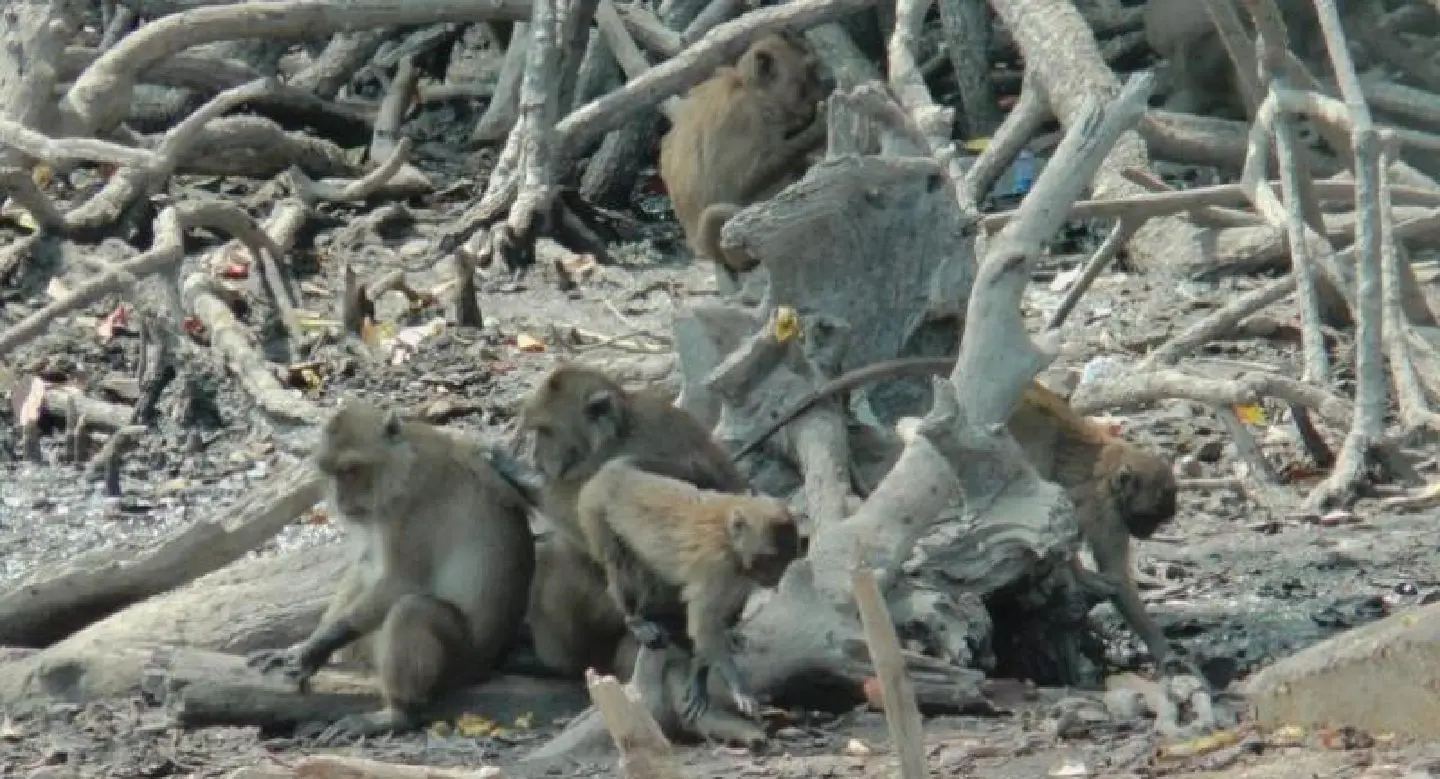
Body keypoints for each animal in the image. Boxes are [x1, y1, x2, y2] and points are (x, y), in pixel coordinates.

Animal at [247, 399, 536, 741]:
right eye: (332, 473)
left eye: (351, 470)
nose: (341, 500)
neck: (401, 465)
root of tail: (491, 663)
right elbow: (365, 566)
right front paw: (304, 646)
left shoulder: (416, 503)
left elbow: (401, 582)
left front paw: (314, 649)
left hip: (463, 664)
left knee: (412, 610)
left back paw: (398, 714)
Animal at [574, 457, 802, 723]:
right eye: (771, 559)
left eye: (785, 560)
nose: (776, 577)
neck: (729, 539)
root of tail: (612, 471)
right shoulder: (718, 566)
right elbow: (704, 624)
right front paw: (738, 687)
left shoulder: (739, 574)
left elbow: (717, 617)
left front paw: (699, 673)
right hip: (593, 511)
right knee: (621, 562)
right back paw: (636, 619)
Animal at [659, 32, 829, 284]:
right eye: (809, 72)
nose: (824, 89)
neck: (749, 89)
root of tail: (702, 250)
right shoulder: (744, 118)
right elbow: (739, 187)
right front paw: (819, 127)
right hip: (727, 248)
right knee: (718, 215)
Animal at [728, 356, 1180, 665]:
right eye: (1150, 516)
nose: (1145, 533)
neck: (1113, 469)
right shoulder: (1104, 510)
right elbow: (1098, 562)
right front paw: (1157, 643)